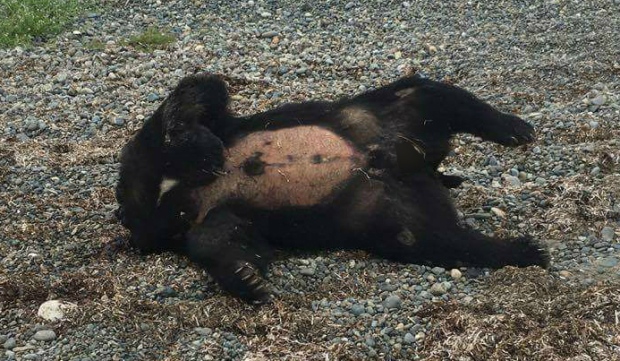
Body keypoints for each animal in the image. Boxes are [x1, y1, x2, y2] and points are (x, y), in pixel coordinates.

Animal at [115, 72, 548, 300]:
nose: (435, 169)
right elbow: (231, 237)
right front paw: (249, 275)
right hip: (384, 198)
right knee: (436, 240)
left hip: (375, 118)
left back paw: (512, 129)